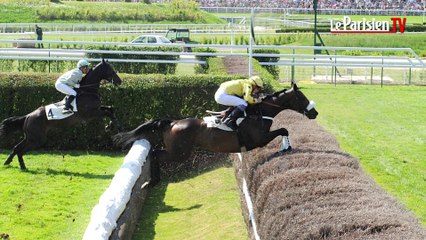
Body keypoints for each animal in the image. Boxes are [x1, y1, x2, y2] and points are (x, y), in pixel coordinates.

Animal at [113, 83, 316, 187]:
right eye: (302, 98)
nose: (315, 113)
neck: (259, 112)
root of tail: (171, 123)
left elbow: (284, 130)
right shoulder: (259, 139)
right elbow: (284, 130)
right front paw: (286, 147)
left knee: (155, 153)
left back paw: (152, 181)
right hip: (180, 153)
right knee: (156, 154)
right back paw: (153, 181)